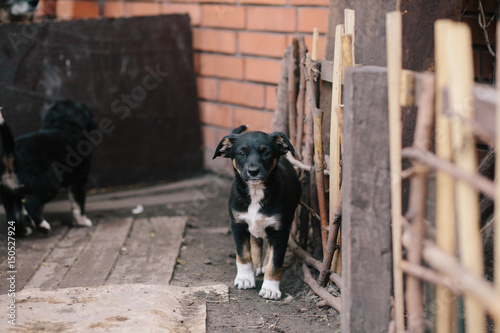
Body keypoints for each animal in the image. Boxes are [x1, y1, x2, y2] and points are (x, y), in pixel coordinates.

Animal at [0, 98, 94, 236]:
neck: (64, 122)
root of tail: (12, 160)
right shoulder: (79, 178)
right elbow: (78, 202)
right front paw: (82, 221)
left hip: (9, 195)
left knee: (15, 218)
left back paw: (25, 231)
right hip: (49, 183)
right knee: (30, 202)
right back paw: (42, 226)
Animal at [212, 127, 298, 298]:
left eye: (266, 153)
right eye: (241, 153)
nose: (253, 171)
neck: (256, 192)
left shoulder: (281, 230)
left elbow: (275, 261)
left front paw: (270, 288)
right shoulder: (238, 224)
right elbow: (243, 254)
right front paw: (245, 278)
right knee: (255, 242)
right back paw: (256, 266)